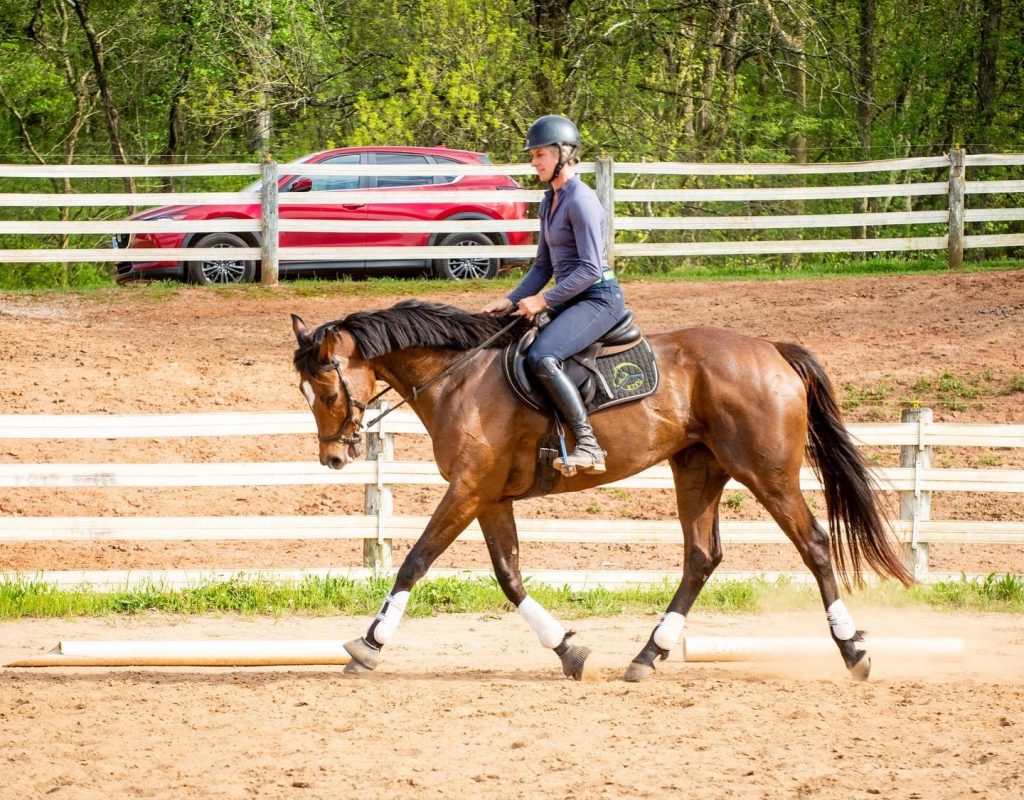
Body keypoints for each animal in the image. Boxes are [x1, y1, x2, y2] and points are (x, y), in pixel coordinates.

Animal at [291, 300, 913, 682]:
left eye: (327, 391)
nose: (333, 457)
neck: (458, 379)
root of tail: (773, 350)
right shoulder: (489, 497)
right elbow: (509, 576)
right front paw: (569, 650)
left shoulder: (467, 491)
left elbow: (415, 562)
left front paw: (369, 645)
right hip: (698, 470)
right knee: (701, 557)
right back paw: (648, 655)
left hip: (768, 473)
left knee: (813, 544)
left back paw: (854, 651)